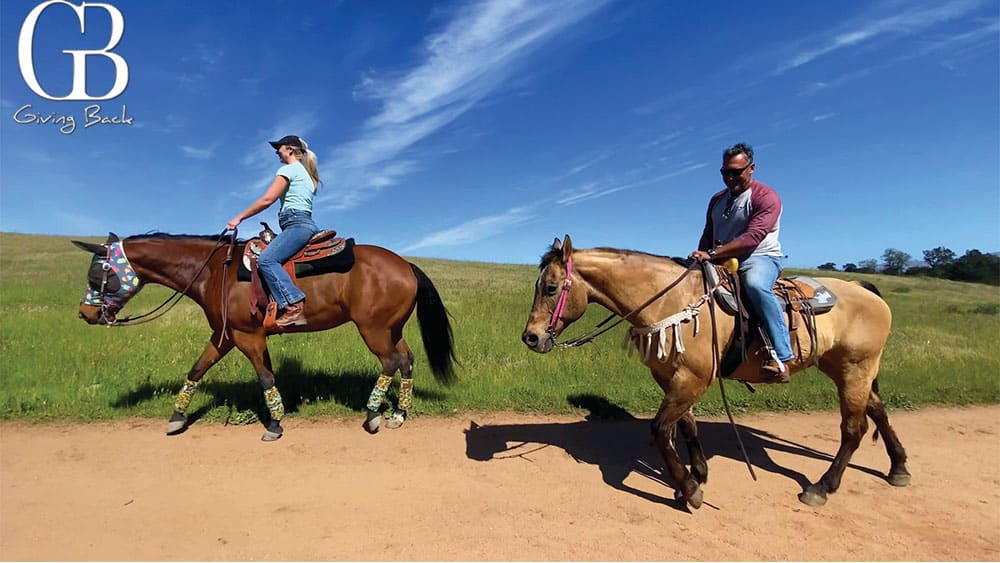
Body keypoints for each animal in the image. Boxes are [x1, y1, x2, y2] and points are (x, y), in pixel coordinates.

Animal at [73, 232, 458, 440]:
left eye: (96, 275)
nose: (85, 314)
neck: (213, 272)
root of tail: (406, 265)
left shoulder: (248, 337)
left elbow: (264, 378)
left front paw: (274, 423)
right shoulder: (225, 335)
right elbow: (197, 369)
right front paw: (177, 418)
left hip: (374, 329)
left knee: (391, 362)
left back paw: (373, 414)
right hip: (391, 328)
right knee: (406, 359)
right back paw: (399, 414)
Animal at [520, 236, 912, 508]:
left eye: (551, 287)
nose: (531, 337)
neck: (671, 301)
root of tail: (863, 288)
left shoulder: (692, 378)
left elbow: (661, 429)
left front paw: (690, 489)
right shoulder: (671, 377)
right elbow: (686, 425)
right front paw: (698, 473)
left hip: (855, 368)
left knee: (853, 429)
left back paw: (821, 487)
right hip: (844, 367)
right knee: (877, 410)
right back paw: (898, 468)